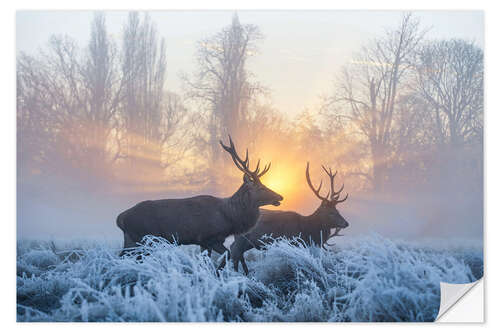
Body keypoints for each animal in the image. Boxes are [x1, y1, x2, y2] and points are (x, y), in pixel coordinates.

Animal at [114, 135, 284, 270]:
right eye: (261, 187)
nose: (280, 197)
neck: (229, 217)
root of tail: (120, 218)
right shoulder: (210, 237)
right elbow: (227, 255)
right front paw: (217, 274)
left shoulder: (205, 242)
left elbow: (207, 261)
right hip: (143, 238)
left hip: (132, 239)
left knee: (122, 257)